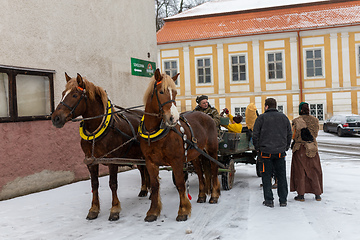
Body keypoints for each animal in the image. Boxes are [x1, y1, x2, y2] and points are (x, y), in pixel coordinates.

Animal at [51, 73, 150, 221]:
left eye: (74, 95)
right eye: (63, 93)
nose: (55, 118)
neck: (97, 131)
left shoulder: (112, 160)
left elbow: (113, 184)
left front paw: (115, 209)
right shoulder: (90, 161)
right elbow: (94, 184)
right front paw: (94, 209)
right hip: (136, 155)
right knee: (142, 169)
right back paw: (144, 189)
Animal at [140, 68, 219, 222]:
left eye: (175, 93)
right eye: (161, 92)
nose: (173, 118)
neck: (154, 132)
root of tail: (207, 116)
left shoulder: (176, 161)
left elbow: (180, 183)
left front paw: (183, 210)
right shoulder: (150, 162)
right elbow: (155, 185)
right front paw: (153, 211)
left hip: (212, 151)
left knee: (214, 170)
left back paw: (214, 195)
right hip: (196, 154)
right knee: (200, 173)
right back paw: (201, 196)